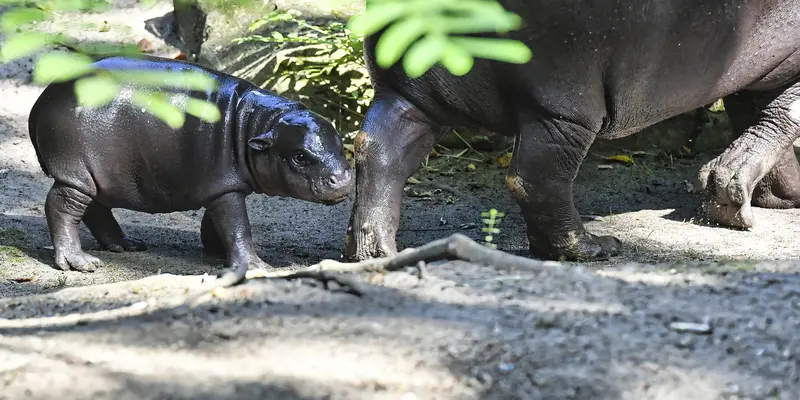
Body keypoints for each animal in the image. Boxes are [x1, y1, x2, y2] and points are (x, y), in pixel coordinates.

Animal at [28, 55, 354, 276]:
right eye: (300, 156)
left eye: (341, 143)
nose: (342, 178)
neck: (258, 123)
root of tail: (41, 101)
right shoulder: (225, 188)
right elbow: (239, 227)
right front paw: (257, 266)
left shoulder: (221, 186)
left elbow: (219, 223)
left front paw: (216, 253)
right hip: (76, 174)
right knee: (62, 206)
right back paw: (80, 263)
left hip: (96, 176)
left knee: (96, 208)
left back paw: (126, 245)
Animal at [346, 0, 800, 262]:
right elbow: (782, 115)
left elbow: (761, 117)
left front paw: (771, 195)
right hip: (566, 107)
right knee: (535, 177)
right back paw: (592, 248)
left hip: (409, 91)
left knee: (379, 148)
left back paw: (371, 253)